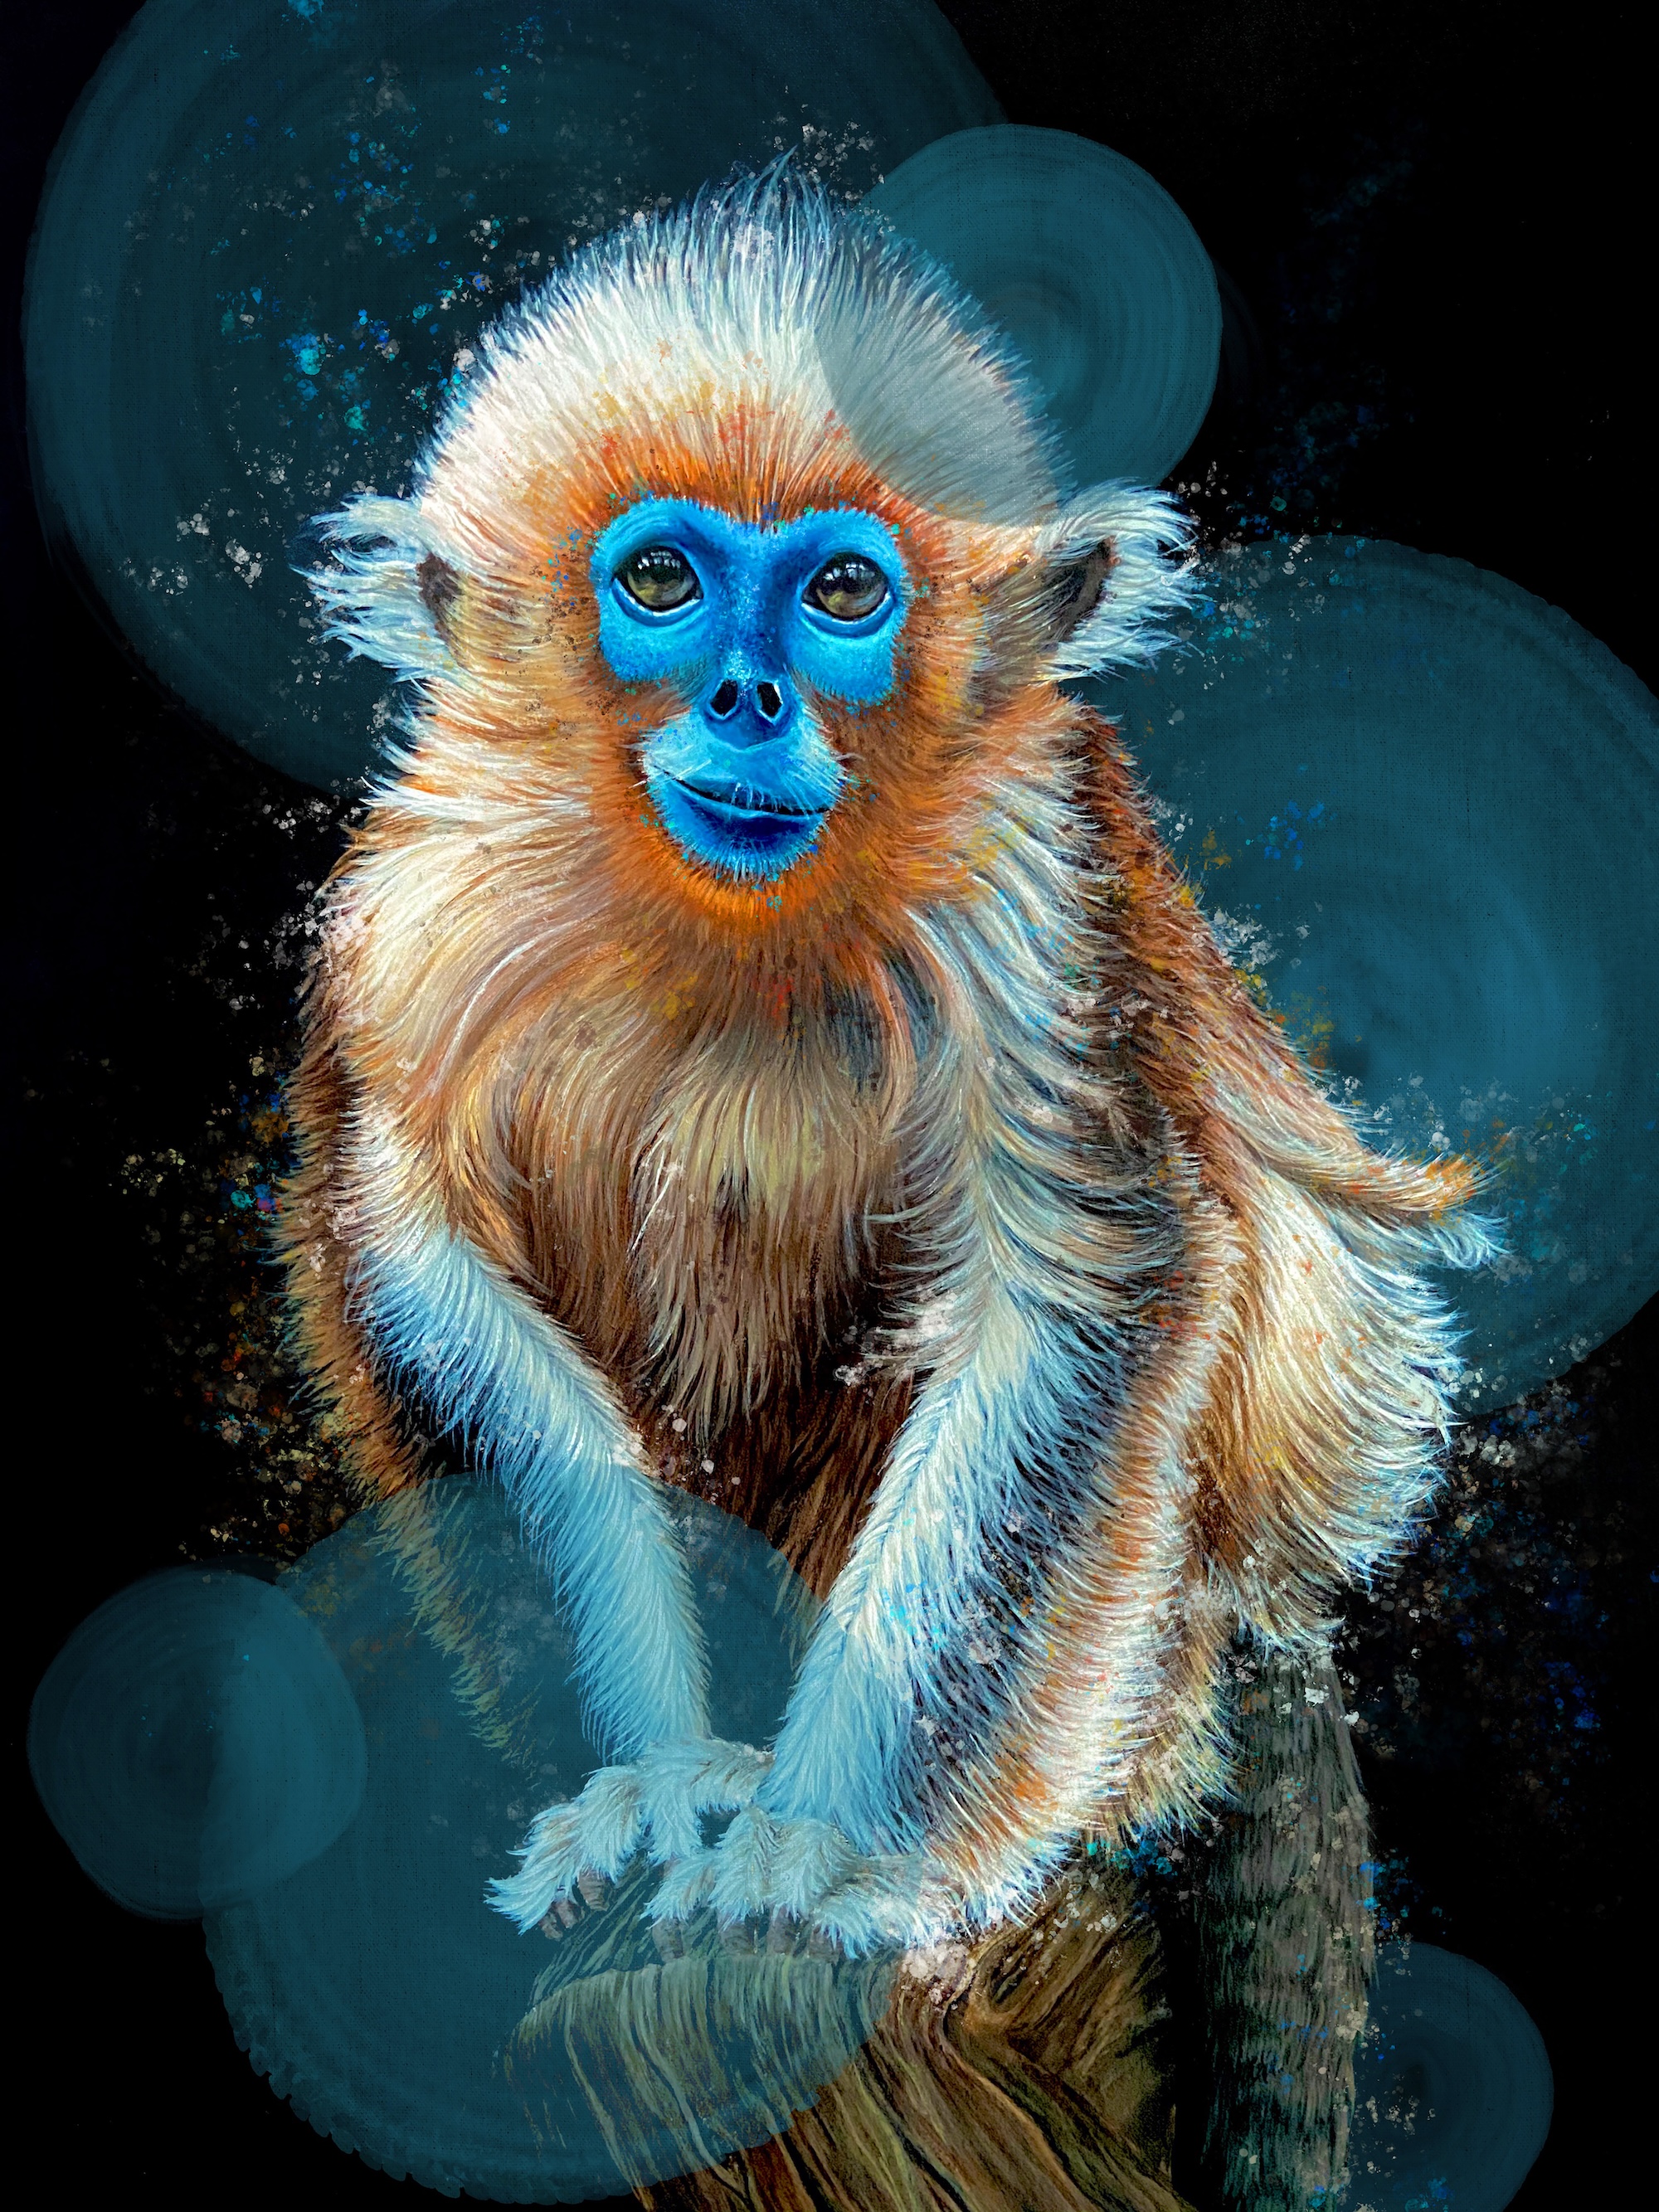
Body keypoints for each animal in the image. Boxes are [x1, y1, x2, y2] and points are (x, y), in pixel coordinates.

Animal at [281, 167, 1489, 1976]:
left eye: (845, 596)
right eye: (660, 579)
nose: (748, 694)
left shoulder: (1029, 877)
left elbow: (1072, 1312)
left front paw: (828, 1851)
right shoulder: (418, 911)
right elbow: (429, 1274)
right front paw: (655, 1773)